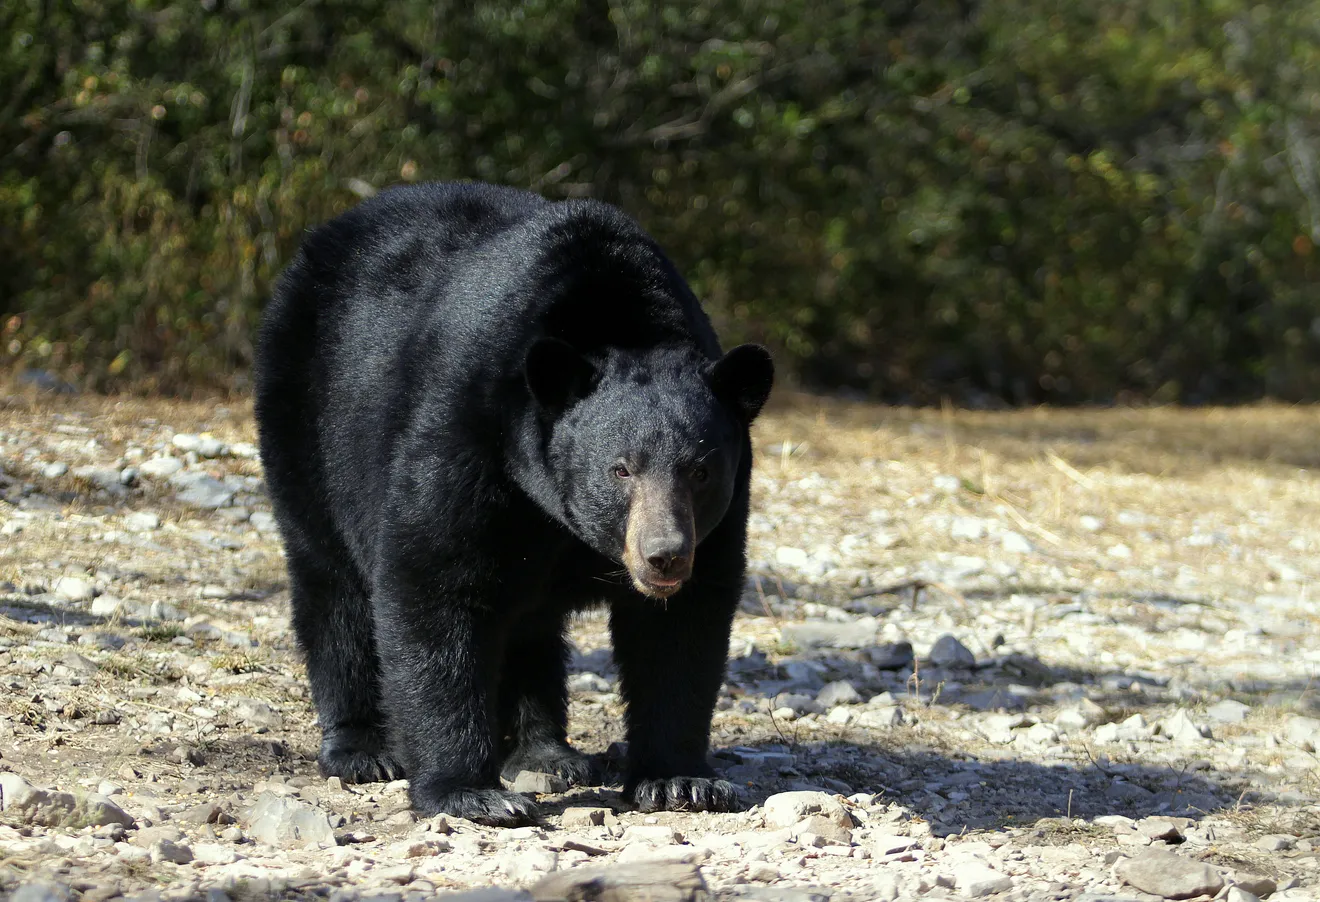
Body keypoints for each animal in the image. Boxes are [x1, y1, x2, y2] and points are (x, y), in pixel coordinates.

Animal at [253, 181, 773, 826]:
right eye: (620, 468)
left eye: (700, 471)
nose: (664, 556)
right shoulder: (467, 428)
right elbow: (433, 584)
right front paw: (469, 791)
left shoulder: (721, 515)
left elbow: (683, 627)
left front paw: (680, 780)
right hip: (308, 416)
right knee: (332, 583)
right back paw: (362, 749)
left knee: (530, 624)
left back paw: (546, 751)